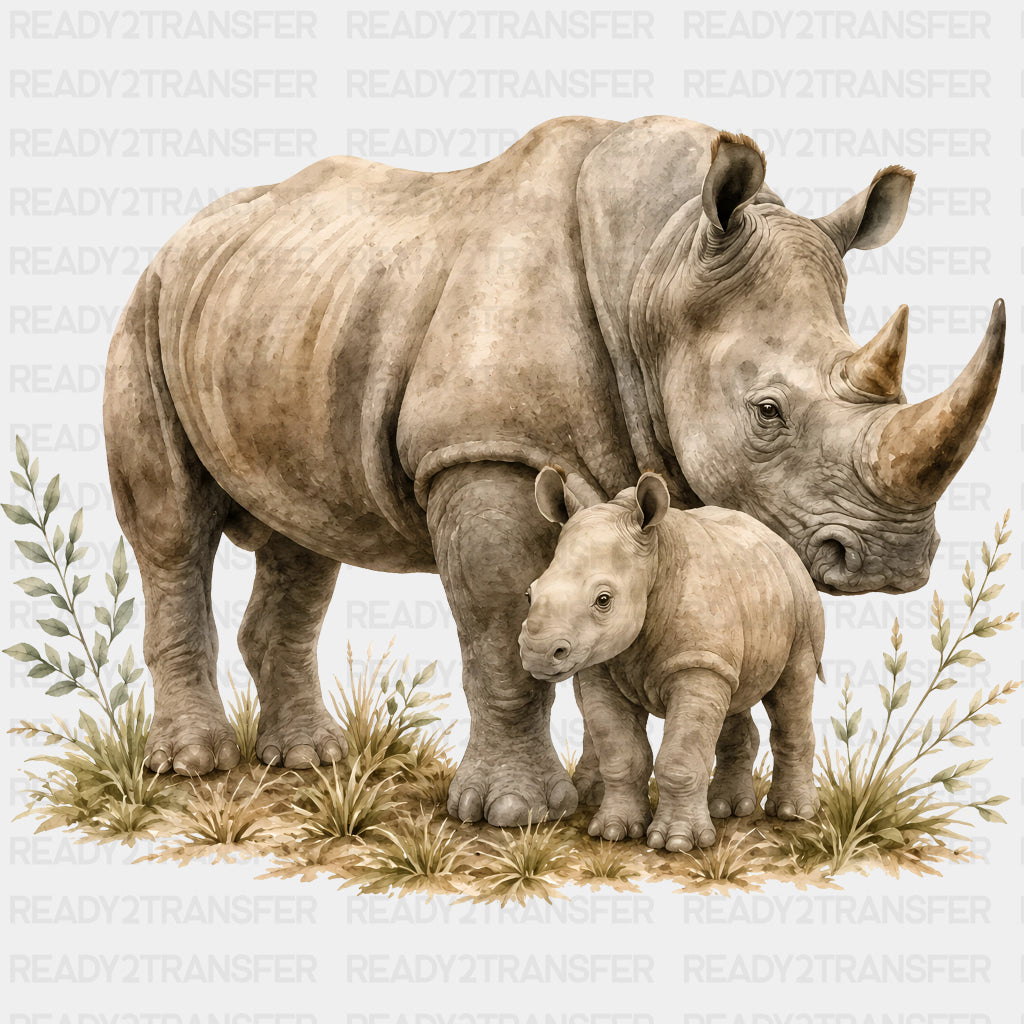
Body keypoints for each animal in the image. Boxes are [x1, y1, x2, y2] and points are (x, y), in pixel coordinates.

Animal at [519, 468, 826, 851]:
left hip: (799, 599)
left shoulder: (694, 663)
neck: (654, 559)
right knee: (734, 694)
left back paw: (792, 813)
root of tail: (778, 541)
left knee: (792, 687)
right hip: (751, 591)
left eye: (604, 600)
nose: (537, 653)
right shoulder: (600, 665)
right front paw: (614, 832)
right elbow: (621, 753)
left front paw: (678, 842)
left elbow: (680, 756)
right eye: (529, 593)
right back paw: (726, 808)